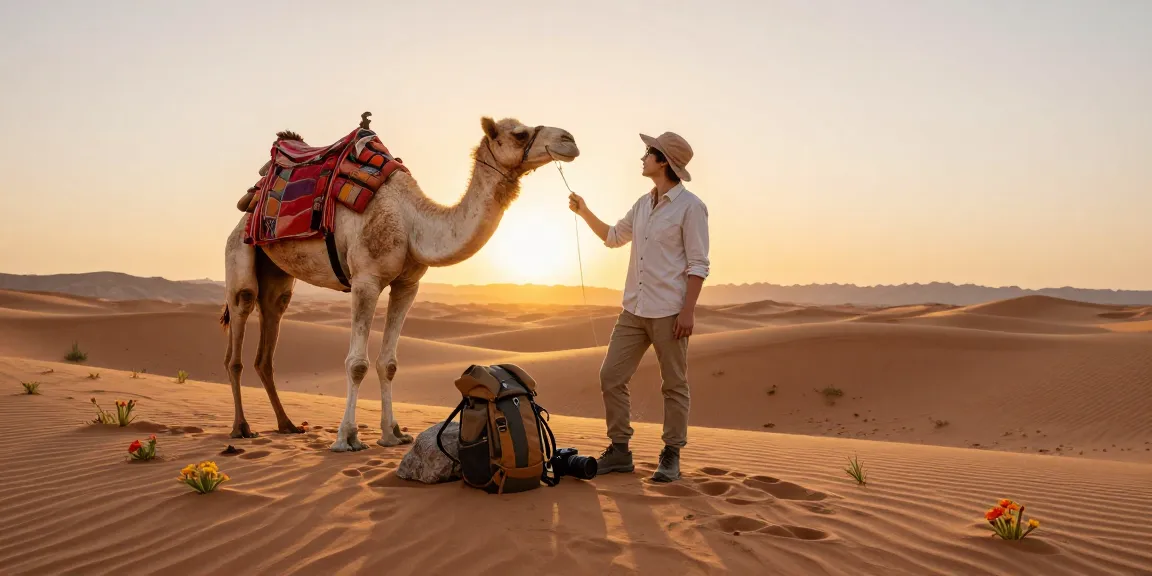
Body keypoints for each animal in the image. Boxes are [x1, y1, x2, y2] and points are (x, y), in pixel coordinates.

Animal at [221, 116, 579, 451]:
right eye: (519, 134)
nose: (570, 140)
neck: (412, 222)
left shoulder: (408, 284)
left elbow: (389, 363)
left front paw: (392, 434)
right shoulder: (365, 279)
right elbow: (357, 364)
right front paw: (347, 438)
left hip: (277, 276)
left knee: (270, 329)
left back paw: (287, 425)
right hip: (239, 252)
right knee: (239, 330)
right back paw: (241, 427)